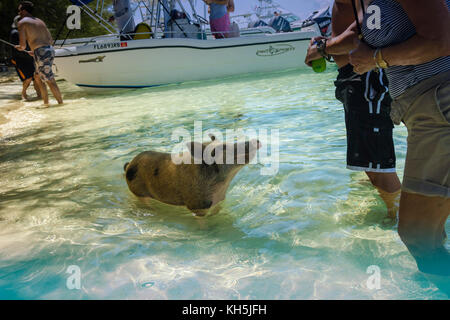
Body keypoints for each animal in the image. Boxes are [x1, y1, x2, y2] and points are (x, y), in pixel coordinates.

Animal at [125, 134, 262, 216]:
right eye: (223, 147)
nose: (256, 140)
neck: (222, 185)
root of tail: (128, 165)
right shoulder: (196, 205)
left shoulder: (219, 200)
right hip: (138, 191)